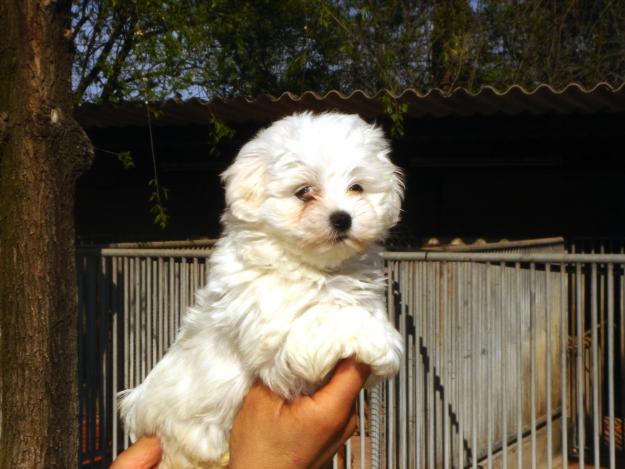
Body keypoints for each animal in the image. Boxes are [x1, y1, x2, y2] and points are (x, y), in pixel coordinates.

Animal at [119, 111, 404, 466]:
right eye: (304, 191)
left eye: (357, 187)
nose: (342, 218)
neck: (315, 268)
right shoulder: (276, 335)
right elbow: (323, 320)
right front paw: (375, 338)